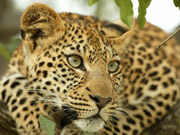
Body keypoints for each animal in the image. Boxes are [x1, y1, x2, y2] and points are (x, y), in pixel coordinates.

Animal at [1, 2, 180, 135]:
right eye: (74, 61)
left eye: (112, 66)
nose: (102, 100)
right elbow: (10, 83)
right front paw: (30, 117)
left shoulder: (167, 79)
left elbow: (128, 118)